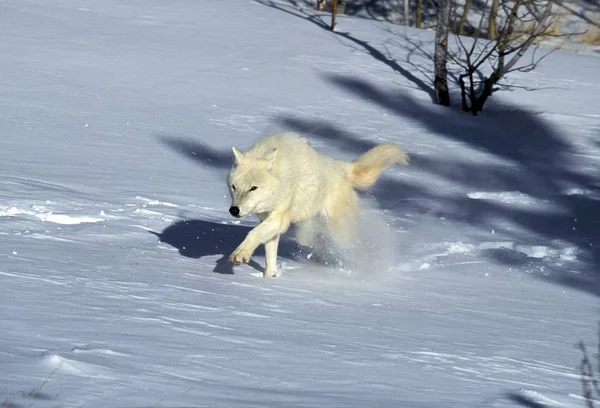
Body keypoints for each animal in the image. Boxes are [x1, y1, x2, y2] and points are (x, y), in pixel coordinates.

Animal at [225, 131, 408, 278]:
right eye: (234, 187)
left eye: (253, 188)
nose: (234, 210)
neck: (281, 177)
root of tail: (342, 167)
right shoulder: (267, 220)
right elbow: (269, 252)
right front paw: (268, 277)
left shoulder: (280, 218)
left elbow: (253, 233)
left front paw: (239, 254)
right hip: (308, 232)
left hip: (339, 234)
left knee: (355, 248)